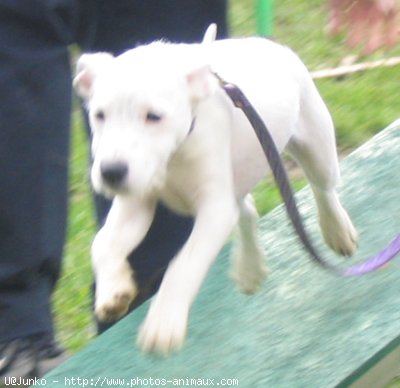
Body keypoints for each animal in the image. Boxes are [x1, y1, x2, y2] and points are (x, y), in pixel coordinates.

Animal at [73, 26, 358, 354]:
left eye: (154, 116)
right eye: (99, 115)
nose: (110, 173)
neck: (174, 156)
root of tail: (266, 44)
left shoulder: (213, 208)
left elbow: (185, 263)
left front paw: (163, 323)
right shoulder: (135, 201)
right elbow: (104, 243)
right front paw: (113, 292)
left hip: (315, 142)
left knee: (323, 188)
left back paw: (337, 231)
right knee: (247, 211)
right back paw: (249, 267)